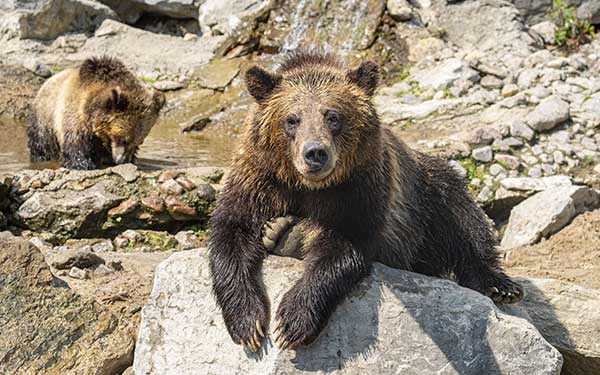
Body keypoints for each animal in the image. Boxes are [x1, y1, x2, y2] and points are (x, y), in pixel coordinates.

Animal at [27, 56, 165, 170]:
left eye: (139, 141)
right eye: (122, 139)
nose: (122, 160)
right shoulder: (75, 116)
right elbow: (76, 144)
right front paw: (83, 164)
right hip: (45, 119)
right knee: (42, 144)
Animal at [209, 51, 524, 354]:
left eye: (333, 116)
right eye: (292, 119)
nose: (315, 153)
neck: (308, 187)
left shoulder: (360, 188)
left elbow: (344, 247)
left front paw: (293, 322)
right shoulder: (259, 180)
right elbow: (230, 234)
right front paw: (248, 324)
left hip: (426, 197)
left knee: (464, 216)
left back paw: (501, 286)